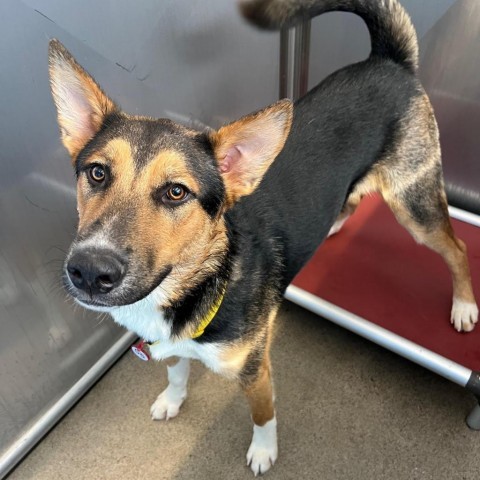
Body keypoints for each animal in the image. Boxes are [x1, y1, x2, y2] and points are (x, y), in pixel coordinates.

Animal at [47, 0, 476, 474]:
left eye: (176, 192)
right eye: (97, 173)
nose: (89, 271)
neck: (200, 279)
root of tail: (388, 61)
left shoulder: (254, 368)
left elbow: (263, 412)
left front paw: (264, 452)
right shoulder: (170, 345)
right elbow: (177, 371)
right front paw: (172, 399)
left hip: (413, 201)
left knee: (456, 247)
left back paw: (463, 305)